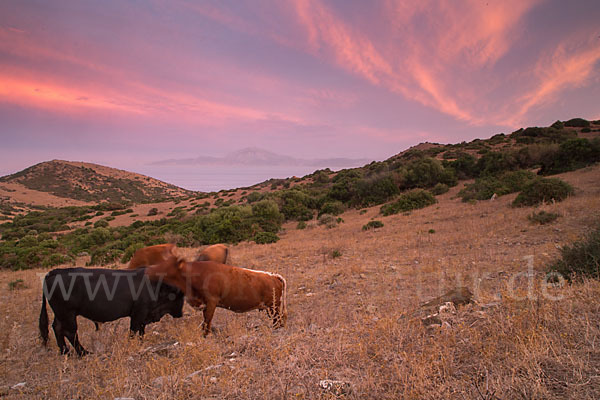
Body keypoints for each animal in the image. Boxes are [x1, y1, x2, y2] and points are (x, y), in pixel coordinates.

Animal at [39, 266, 183, 356]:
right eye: (179, 296)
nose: (180, 314)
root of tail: (53, 272)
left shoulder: (143, 316)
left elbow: (141, 332)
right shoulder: (138, 314)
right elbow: (133, 331)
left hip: (60, 314)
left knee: (57, 328)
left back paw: (65, 352)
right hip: (68, 314)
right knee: (70, 332)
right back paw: (83, 353)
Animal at [144, 255, 288, 336]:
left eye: (166, 265)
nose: (148, 270)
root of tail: (273, 275)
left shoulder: (211, 302)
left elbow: (207, 321)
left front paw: (206, 336)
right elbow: (205, 321)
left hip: (273, 306)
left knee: (278, 318)